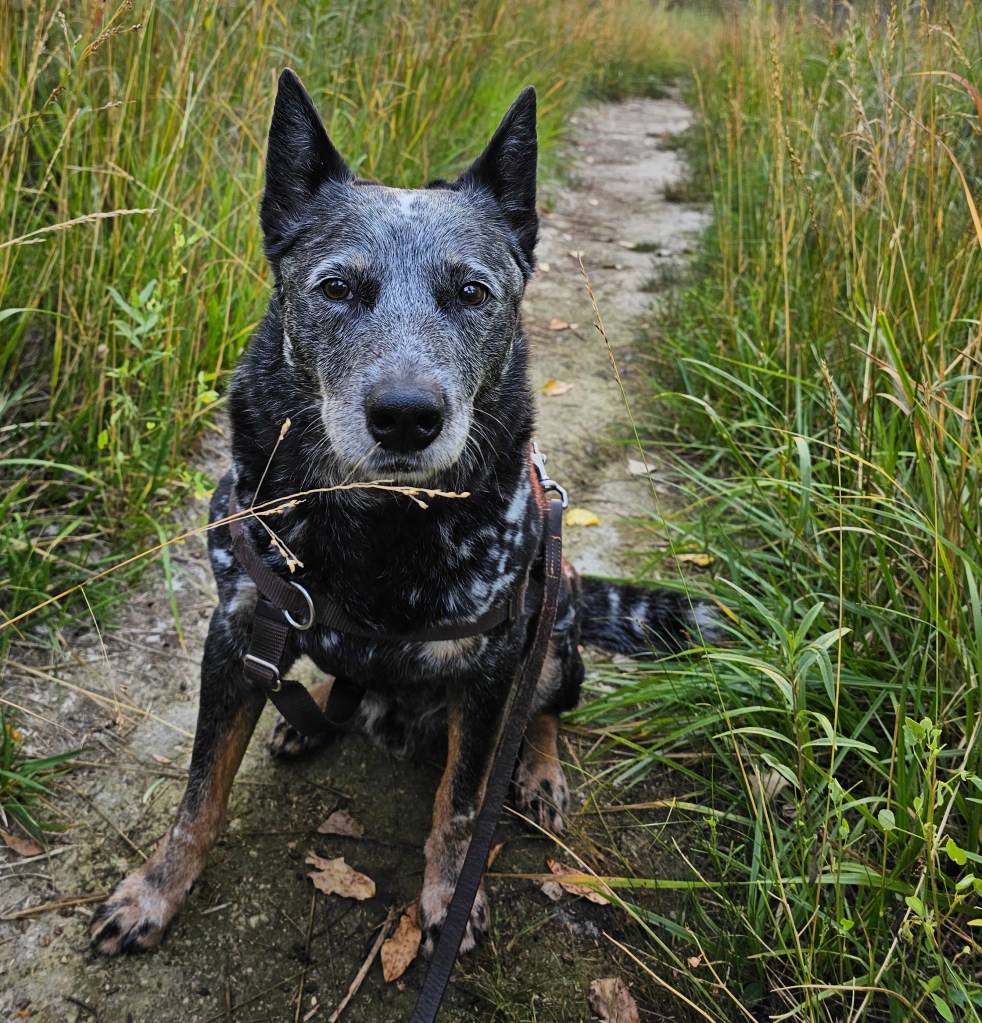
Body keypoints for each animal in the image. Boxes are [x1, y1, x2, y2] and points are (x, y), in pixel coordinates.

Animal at [89, 69, 715, 958]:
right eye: (338, 287)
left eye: (473, 293)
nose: (407, 415)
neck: (373, 524)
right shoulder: (238, 629)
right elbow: (198, 795)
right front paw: (155, 891)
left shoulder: (490, 669)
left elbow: (461, 802)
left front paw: (451, 894)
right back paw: (312, 716)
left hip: (553, 624)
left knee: (544, 709)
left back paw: (538, 770)